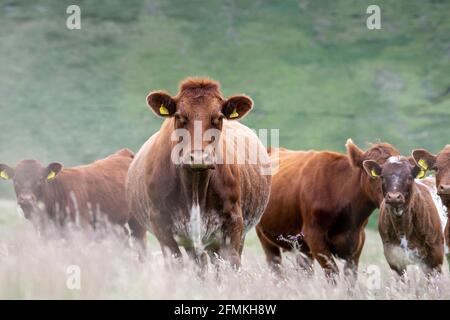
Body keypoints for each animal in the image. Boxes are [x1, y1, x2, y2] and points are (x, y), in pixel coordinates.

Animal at [0, 149, 146, 248]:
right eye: (15, 180)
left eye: (40, 179)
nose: (26, 199)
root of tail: (123, 153)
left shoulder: (82, 229)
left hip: (137, 220)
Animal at [125, 77, 270, 268]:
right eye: (179, 116)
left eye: (218, 117)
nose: (199, 157)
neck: (194, 185)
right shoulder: (161, 226)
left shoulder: (233, 224)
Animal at [255, 139, 400, 278]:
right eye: (375, 173)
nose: (393, 197)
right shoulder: (314, 236)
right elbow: (332, 272)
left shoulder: (358, 240)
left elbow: (350, 276)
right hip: (264, 235)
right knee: (276, 268)